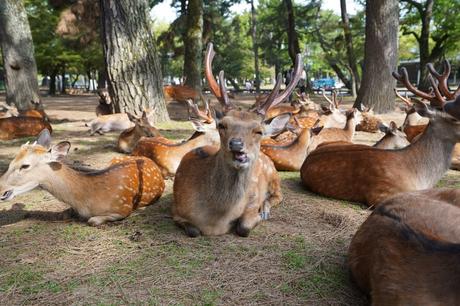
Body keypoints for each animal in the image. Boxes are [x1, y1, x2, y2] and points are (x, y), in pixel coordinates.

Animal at [0, 129, 165, 225]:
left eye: (25, 165)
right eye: (11, 162)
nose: (1, 190)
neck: (85, 200)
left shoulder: (123, 208)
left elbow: (92, 221)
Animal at [171, 43, 300, 237]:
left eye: (259, 131)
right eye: (222, 125)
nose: (236, 145)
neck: (215, 221)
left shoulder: (252, 200)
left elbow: (244, 226)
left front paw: (259, 216)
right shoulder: (176, 210)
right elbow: (193, 231)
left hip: (274, 175)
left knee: (279, 195)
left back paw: (266, 209)